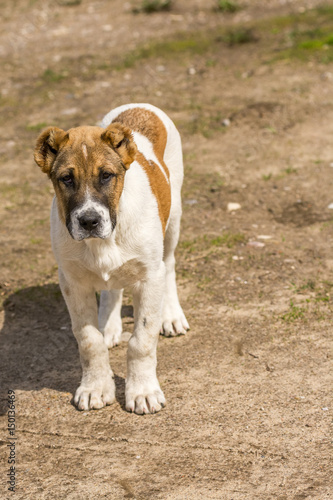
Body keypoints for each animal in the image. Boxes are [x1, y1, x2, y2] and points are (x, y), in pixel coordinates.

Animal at [34, 104, 189, 414]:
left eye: (106, 176)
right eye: (66, 179)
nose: (89, 221)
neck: (102, 241)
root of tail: (140, 105)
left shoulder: (149, 277)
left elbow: (142, 340)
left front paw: (142, 391)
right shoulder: (72, 282)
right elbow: (88, 340)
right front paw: (95, 387)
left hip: (173, 221)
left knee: (169, 266)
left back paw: (171, 315)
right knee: (111, 288)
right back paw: (109, 324)